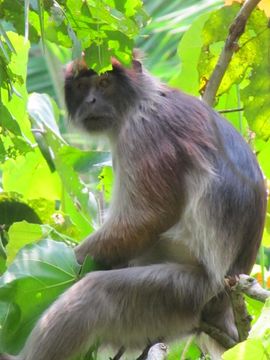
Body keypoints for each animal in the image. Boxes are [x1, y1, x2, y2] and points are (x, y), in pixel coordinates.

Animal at [0, 55, 266, 360]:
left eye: (104, 83)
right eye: (82, 86)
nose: (91, 100)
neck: (143, 98)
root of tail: (222, 305)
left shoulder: (144, 130)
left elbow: (147, 218)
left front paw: (73, 260)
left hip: (184, 295)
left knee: (94, 295)